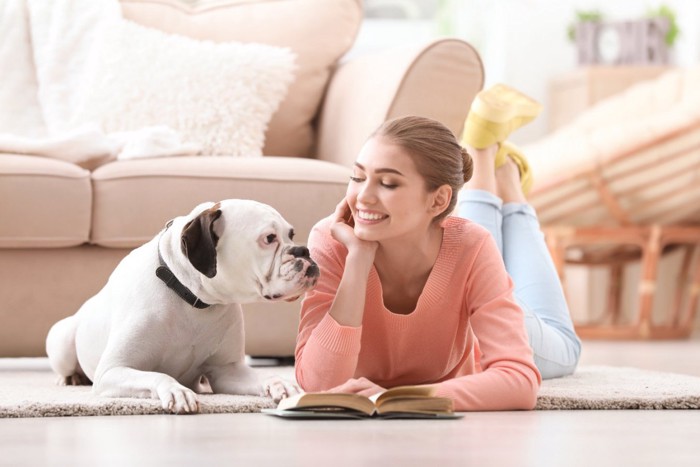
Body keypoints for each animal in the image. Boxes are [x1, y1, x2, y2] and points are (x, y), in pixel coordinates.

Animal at [43, 199, 318, 414]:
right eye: (269, 239)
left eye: (291, 235)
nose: (303, 250)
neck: (193, 298)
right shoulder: (113, 370)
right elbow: (158, 375)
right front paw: (176, 390)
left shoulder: (227, 371)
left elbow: (260, 376)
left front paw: (280, 383)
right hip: (61, 338)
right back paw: (70, 378)